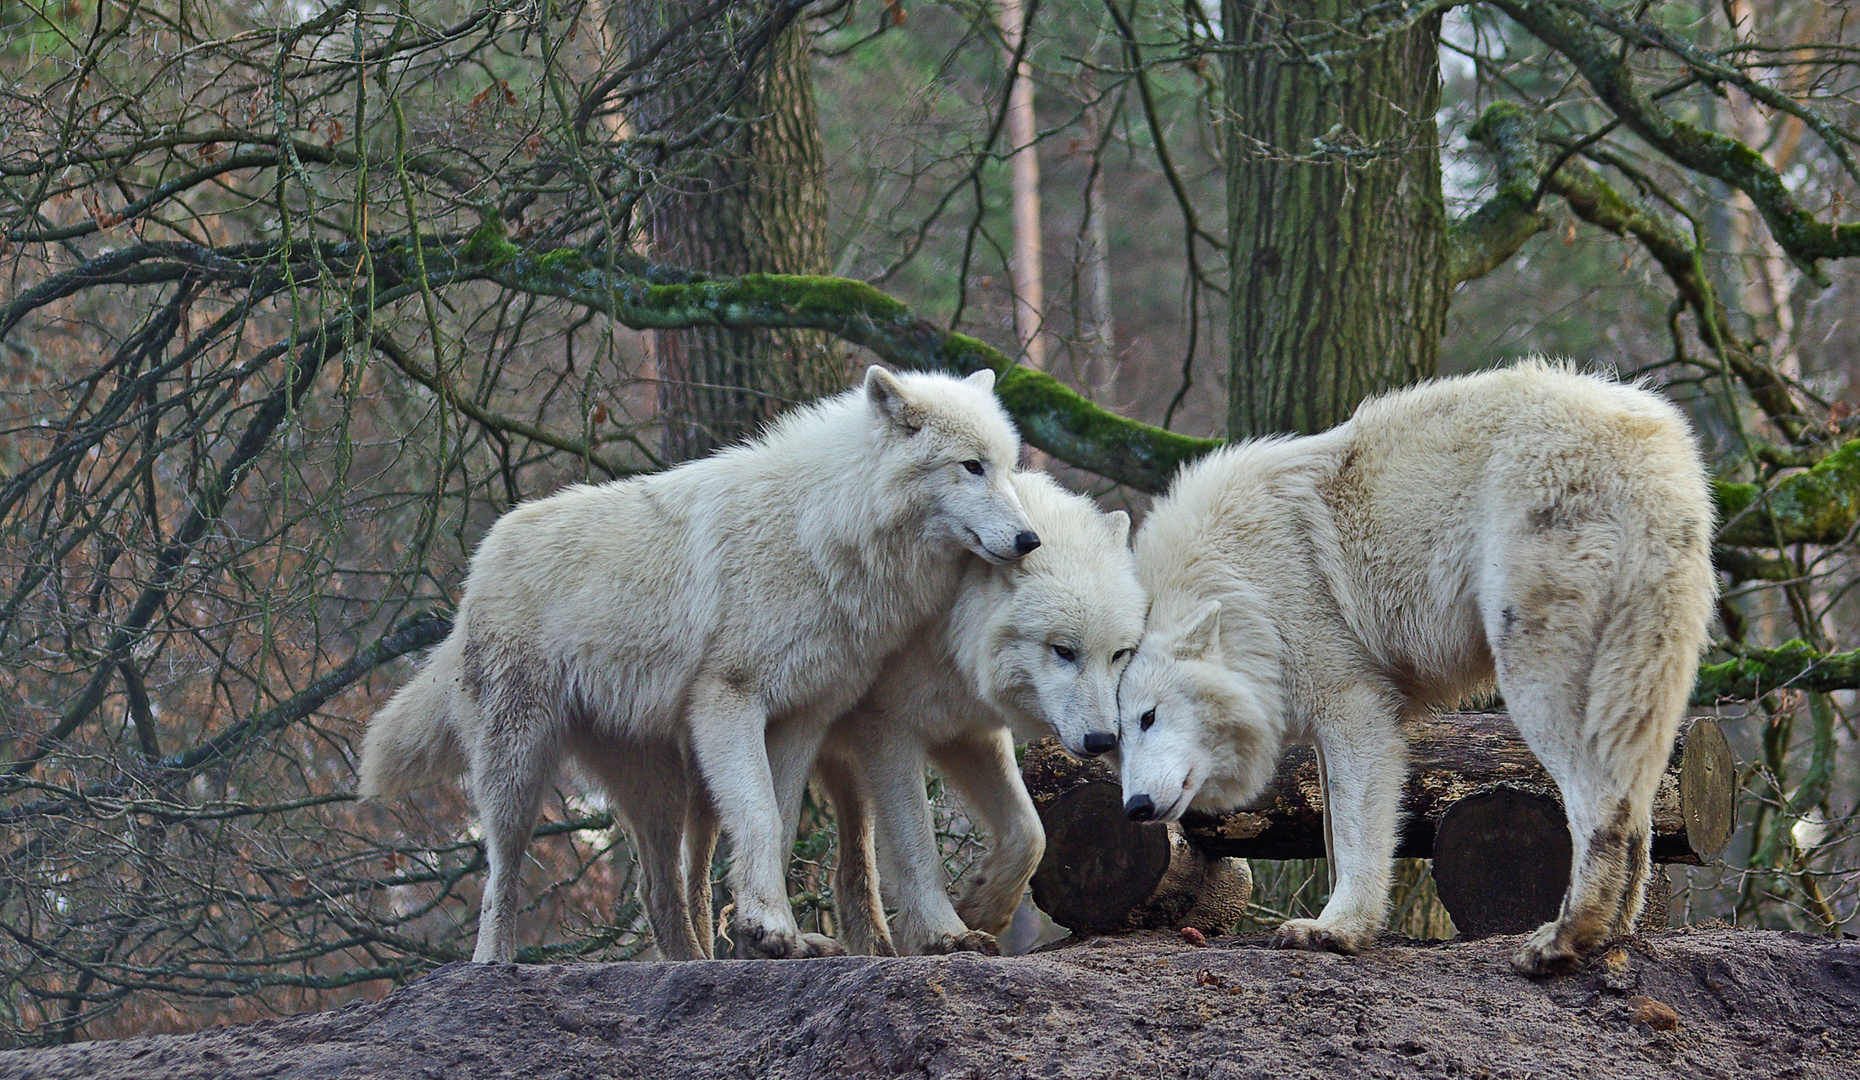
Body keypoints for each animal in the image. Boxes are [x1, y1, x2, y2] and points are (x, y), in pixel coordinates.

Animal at [355, 364, 1041, 959]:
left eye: (1010, 469)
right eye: (971, 466)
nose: (1030, 539)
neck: (821, 528)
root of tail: (480, 562)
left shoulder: (800, 720)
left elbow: (779, 824)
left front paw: (772, 934)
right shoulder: (729, 700)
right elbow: (760, 817)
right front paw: (771, 927)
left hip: (666, 786)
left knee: (660, 888)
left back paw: (695, 962)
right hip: (520, 767)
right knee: (501, 879)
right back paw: (493, 966)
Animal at [1101, 362, 1711, 974]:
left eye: (1149, 717)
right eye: (1113, 742)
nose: (1135, 807)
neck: (1243, 585)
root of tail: (1651, 441)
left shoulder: (1353, 704)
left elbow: (1353, 832)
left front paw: (1335, 930)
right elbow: (1330, 833)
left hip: (1537, 675)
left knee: (1601, 805)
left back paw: (1564, 939)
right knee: (1638, 803)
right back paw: (1615, 934)